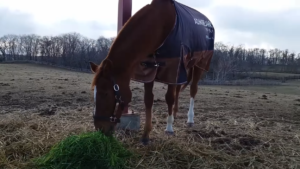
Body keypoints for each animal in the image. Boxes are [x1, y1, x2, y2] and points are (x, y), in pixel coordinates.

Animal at [88, 0, 213, 145]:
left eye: (105, 93)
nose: (99, 129)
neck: (160, 25)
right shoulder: (148, 70)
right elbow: (148, 100)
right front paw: (146, 135)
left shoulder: (172, 69)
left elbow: (169, 98)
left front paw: (169, 128)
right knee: (178, 90)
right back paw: (175, 114)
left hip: (199, 64)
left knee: (193, 89)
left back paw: (190, 119)